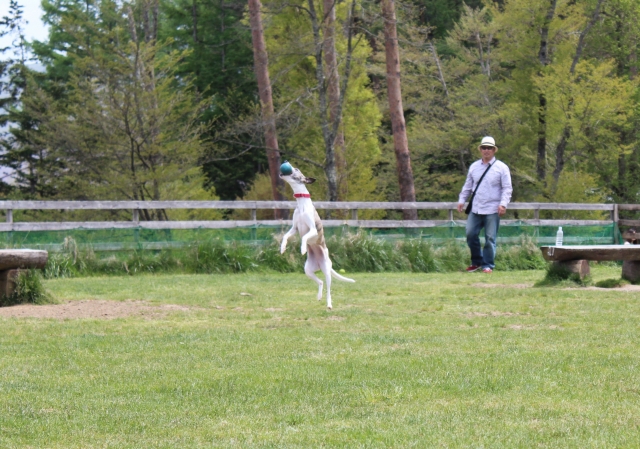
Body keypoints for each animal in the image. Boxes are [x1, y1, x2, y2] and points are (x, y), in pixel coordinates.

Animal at [278, 163, 356, 310]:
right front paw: (282, 248)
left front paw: (303, 249)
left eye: (296, 169)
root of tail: (320, 264)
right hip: (308, 270)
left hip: (327, 271)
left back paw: (329, 304)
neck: (301, 203)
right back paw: (319, 296)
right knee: (320, 282)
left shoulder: (313, 230)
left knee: (329, 289)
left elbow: (304, 237)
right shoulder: (294, 228)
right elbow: (285, 236)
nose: (287, 166)